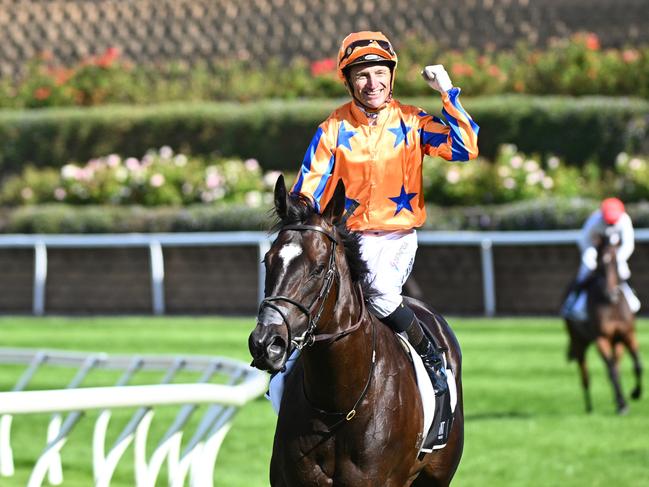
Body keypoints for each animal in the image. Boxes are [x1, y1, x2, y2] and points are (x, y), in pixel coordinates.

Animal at [564, 234, 640, 414]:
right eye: (599, 264)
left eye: (615, 262)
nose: (610, 293)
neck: (611, 305)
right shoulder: (601, 338)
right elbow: (611, 370)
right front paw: (623, 403)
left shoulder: (627, 334)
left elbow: (637, 365)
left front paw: (634, 393)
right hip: (578, 342)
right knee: (585, 374)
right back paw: (590, 407)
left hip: (616, 342)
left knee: (616, 365)